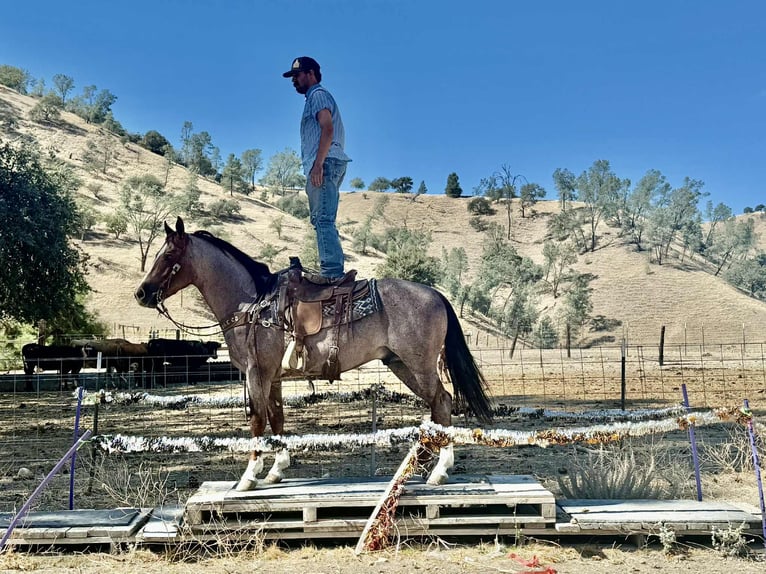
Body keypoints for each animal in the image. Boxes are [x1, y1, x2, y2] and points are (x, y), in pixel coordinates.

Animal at [134, 217, 493, 490]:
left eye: (168, 256)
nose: (141, 293)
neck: (252, 304)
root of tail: (436, 294)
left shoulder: (256, 372)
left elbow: (257, 420)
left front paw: (249, 477)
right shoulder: (272, 377)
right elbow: (277, 418)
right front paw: (277, 470)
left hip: (419, 365)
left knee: (442, 402)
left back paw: (439, 470)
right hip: (400, 364)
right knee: (437, 405)